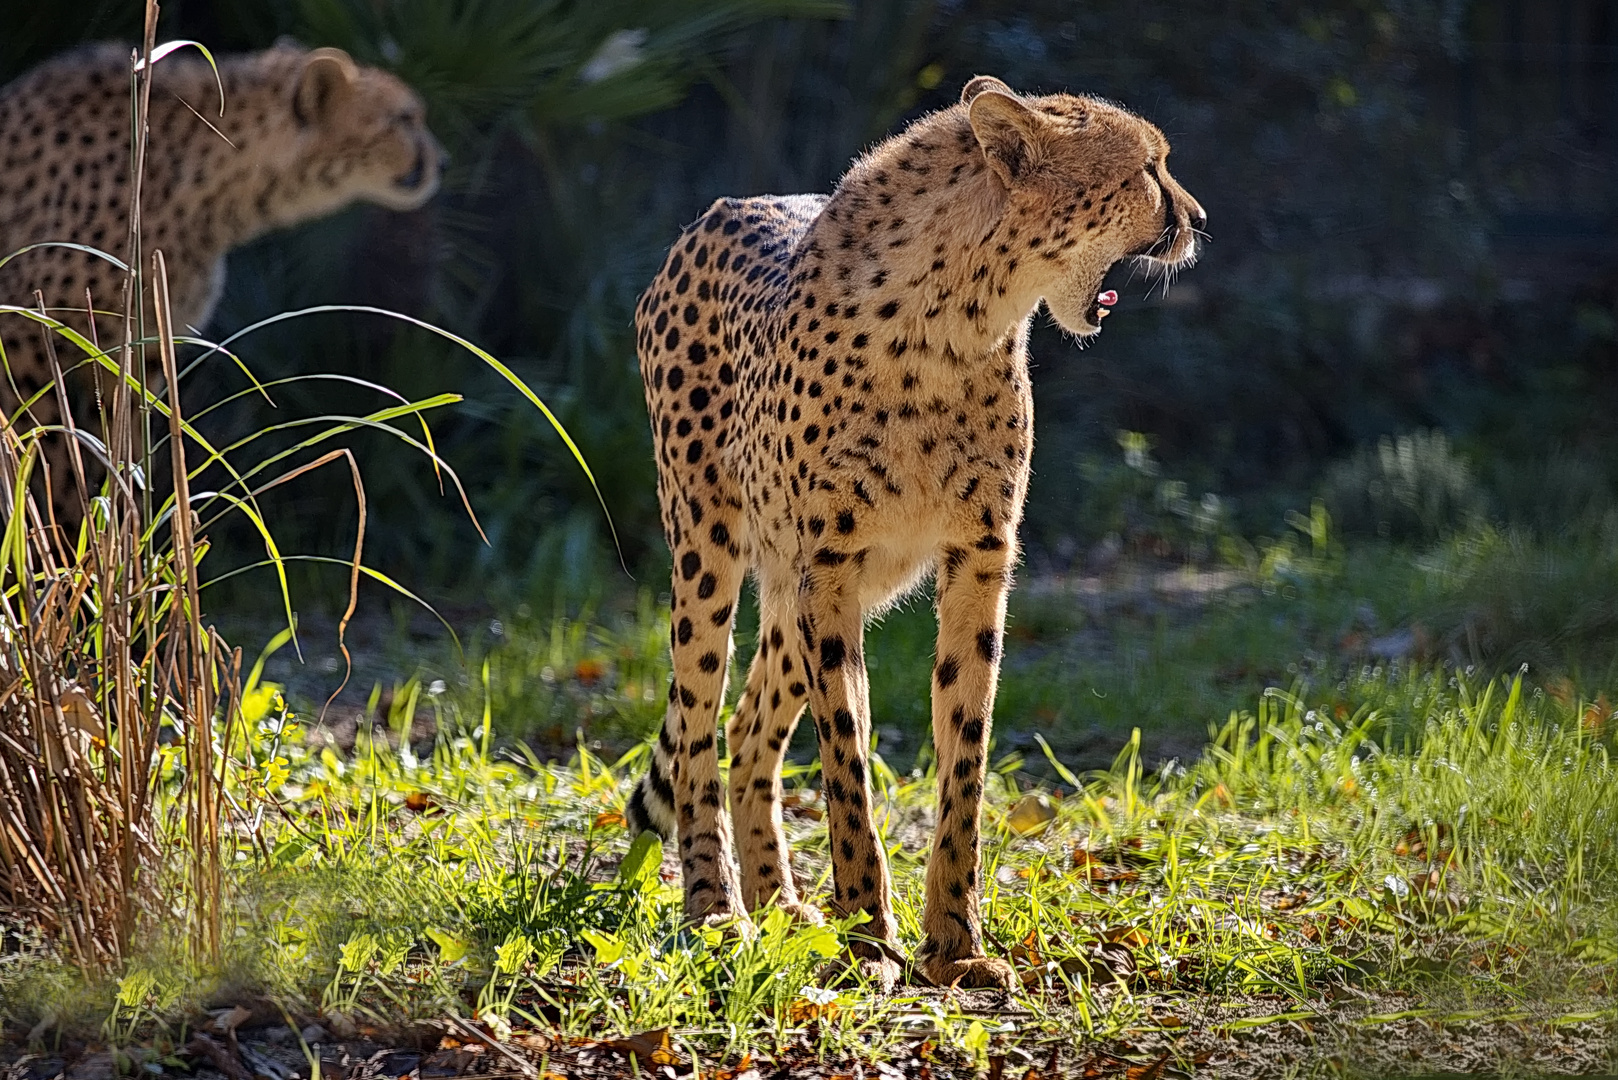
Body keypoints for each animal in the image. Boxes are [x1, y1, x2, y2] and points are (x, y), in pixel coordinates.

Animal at [627, 74, 1203, 990]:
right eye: (1149, 168)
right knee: (697, 731)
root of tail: (722, 208)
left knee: (748, 731)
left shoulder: (978, 556)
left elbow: (964, 754)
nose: (1199, 219)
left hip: (789, 589)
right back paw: (718, 909)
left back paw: (783, 904)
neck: (957, 314)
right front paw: (869, 939)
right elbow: (848, 767)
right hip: (711, 557)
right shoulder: (832, 566)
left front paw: (957, 945)